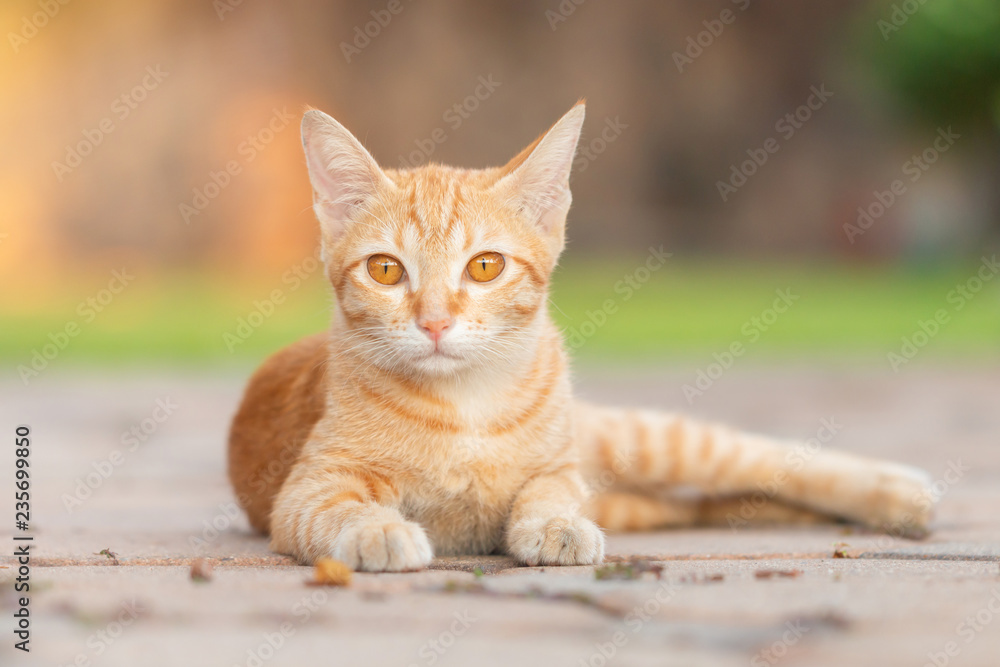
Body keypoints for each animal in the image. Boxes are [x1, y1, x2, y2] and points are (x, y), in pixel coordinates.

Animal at [227, 103, 936, 576]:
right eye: (384, 270)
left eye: (484, 266)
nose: (434, 322)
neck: (469, 405)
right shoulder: (308, 488)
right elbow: (336, 510)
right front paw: (380, 531)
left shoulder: (562, 468)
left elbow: (548, 491)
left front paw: (556, 525)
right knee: (709, 503)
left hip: (643, 442)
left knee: (765, 458)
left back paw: (899, 494)